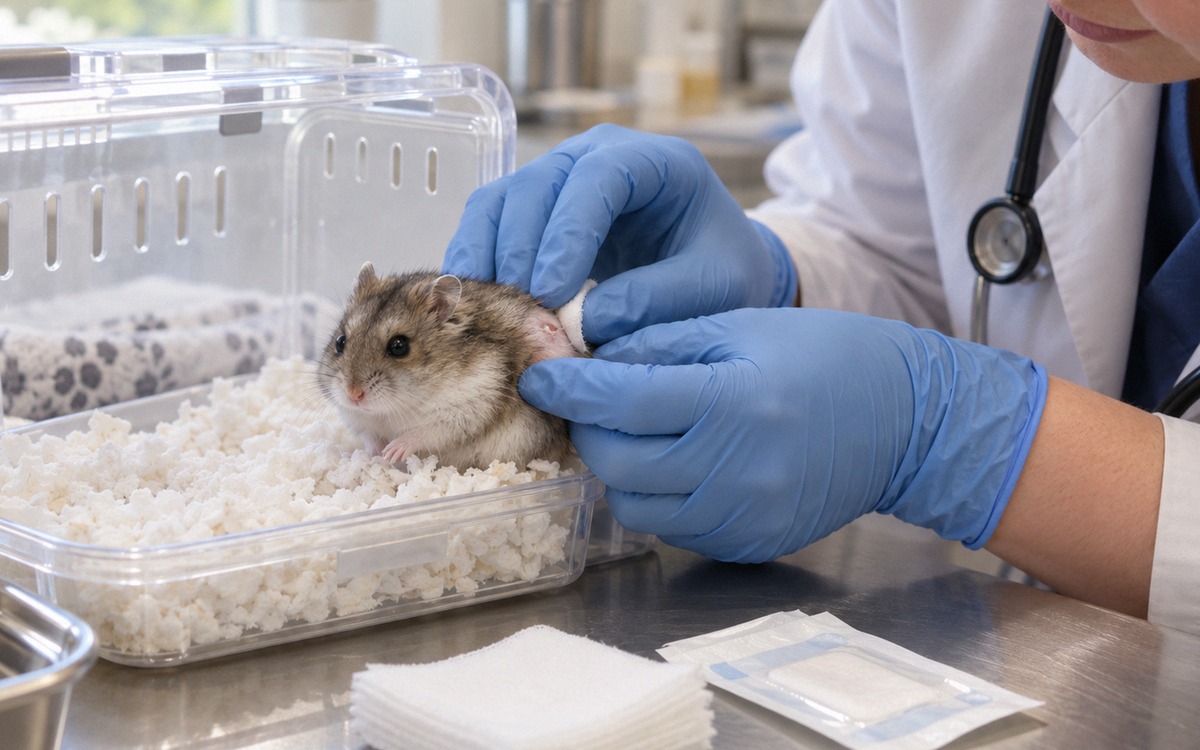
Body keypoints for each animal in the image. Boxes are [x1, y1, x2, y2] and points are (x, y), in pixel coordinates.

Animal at [317, 263, 585, 470]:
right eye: (340, 341)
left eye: (399, 346)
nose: (353, 395)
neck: (395, 408)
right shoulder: (357, 418)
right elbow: (369, 435)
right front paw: (376, 456)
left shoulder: (467, 406)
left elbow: (425, 432)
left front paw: (393, 451)